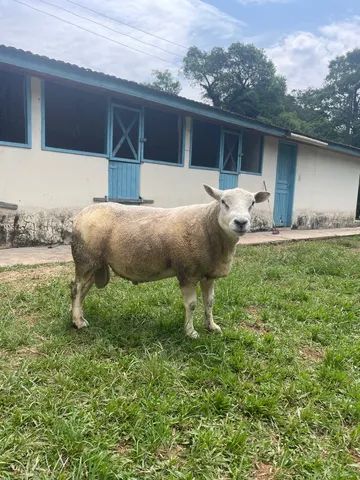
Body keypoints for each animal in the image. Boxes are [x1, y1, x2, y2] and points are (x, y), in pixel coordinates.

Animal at [70, 184, 268, 338]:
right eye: (223, 202)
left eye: (252, 204)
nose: (241, 222)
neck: (208, 224)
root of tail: (79, 216)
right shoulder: (187, 272)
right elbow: (192, 304)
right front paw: (190, 332)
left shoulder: (208, 274)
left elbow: (210, 302)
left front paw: (211, 326)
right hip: (85, 259)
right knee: (76, 289)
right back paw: (78, 322)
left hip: (94, 263)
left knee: (83, 289)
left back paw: (78, 316)